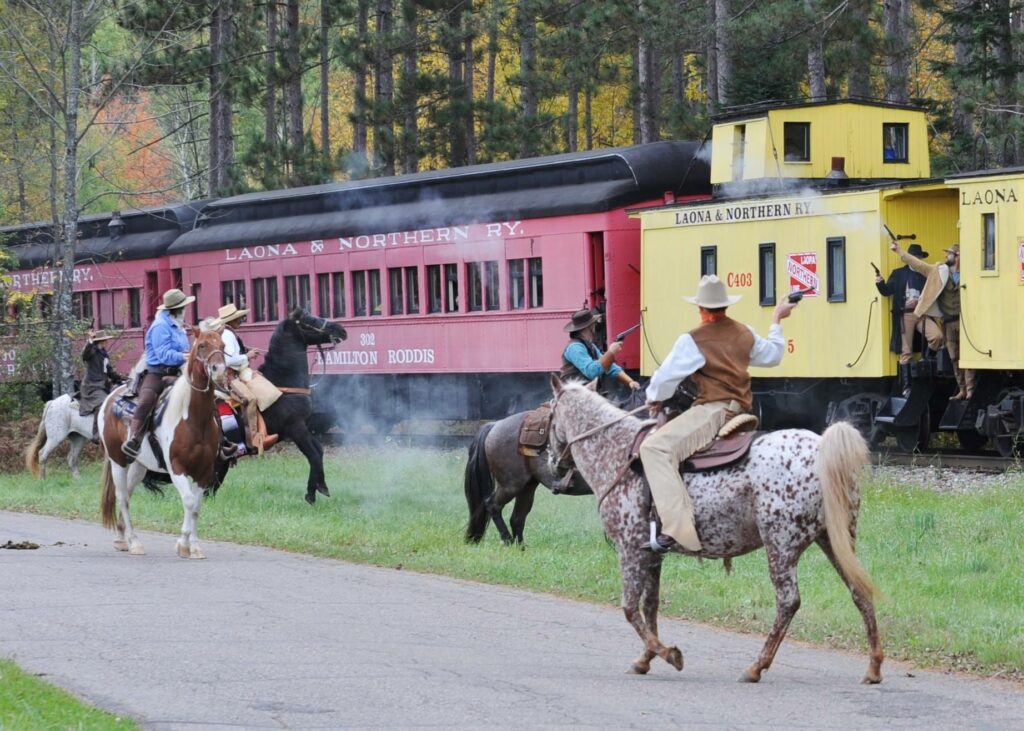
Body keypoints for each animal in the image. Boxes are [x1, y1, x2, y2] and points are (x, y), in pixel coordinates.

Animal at [96, 329, 230, 556]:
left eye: (223, 345)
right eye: (202, 345)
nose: (218, 369)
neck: (193, 419)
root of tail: (111, 397)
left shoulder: (205, 471)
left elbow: (196, 507)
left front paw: (194, 546)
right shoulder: (177, 468)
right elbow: (188, 501)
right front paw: (183, 544)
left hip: (139, 466)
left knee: (128, 494)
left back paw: (122, 538)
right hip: (118, 461)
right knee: (122, 497)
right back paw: (134, 542)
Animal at [548, 376, 884, 683]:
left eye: (549, 414)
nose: (554, 465)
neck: (616, 452)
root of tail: (821, 446)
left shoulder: (629, 549)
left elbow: (630, 608)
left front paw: (668, 654)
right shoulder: (652, 555)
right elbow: (650, 605)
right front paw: (646, 658)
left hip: (781, 545)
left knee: (788, 602)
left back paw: (756, 667)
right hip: (835, 540)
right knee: (860, 589)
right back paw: (874, 667)